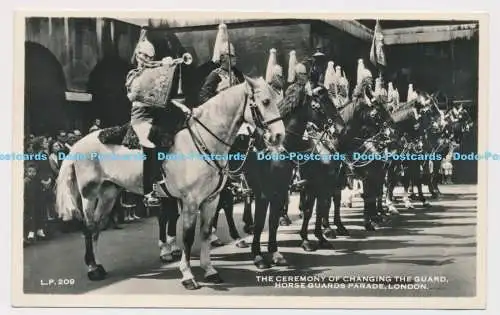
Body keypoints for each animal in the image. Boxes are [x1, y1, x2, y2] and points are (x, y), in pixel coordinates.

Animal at [54, 77, 286, 292]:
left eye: (277, 100)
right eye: (265, 101)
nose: (278, 136)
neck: (204, 141)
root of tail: (78, 144)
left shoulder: (211, 200)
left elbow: (205, 232)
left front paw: (209, 270)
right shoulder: (191, 202)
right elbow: (188, 237)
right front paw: (188, 276)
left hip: (109, 194)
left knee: (97, 227)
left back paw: (98, 265)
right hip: (89, 194)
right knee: (88, 227)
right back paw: (92, 269)